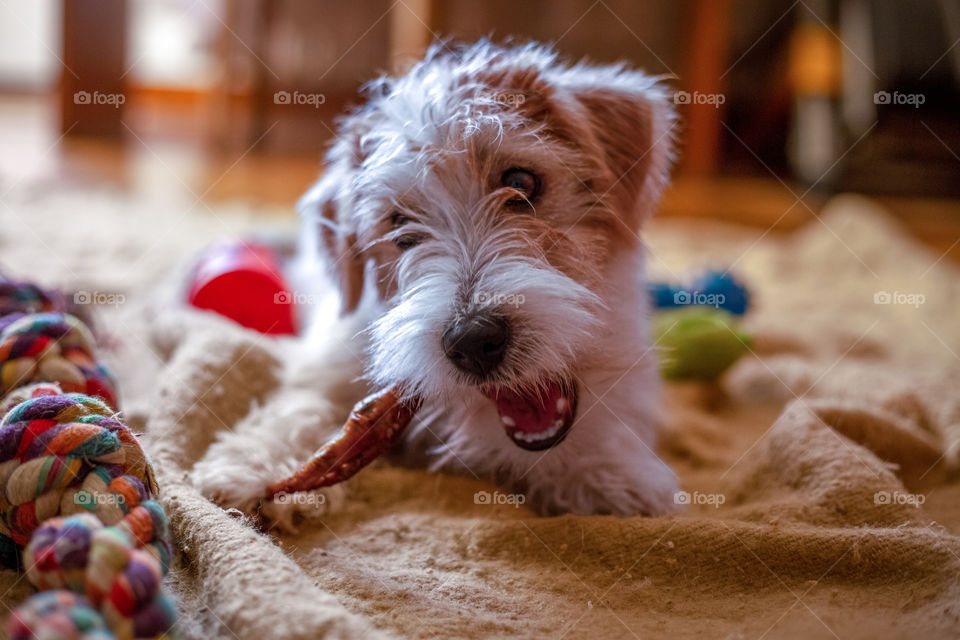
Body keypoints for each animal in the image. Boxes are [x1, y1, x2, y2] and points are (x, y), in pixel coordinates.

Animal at [193, 40, 676, 524]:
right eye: (399, 224)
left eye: (521, 182)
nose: (473, 341)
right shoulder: (333, 361)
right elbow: (305, 404)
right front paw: (260, 465)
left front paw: (605, 472)